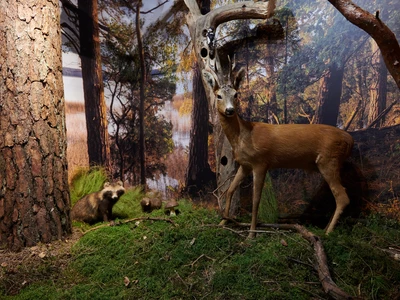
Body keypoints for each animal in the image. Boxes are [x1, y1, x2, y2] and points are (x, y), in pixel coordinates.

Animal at [203, 55, 354, 238]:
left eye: (236, 94)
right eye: (218, 95)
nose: (230, 110)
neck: (243, 136)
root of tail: (350, 139)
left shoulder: (261, 162)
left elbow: (256, 200)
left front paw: (251, 233)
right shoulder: (245, 165)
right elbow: (230, 190)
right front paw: (223, 222)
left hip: (328, 160)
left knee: (342, 197)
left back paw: (328, 232)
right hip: (331, 163)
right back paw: (325, 228)